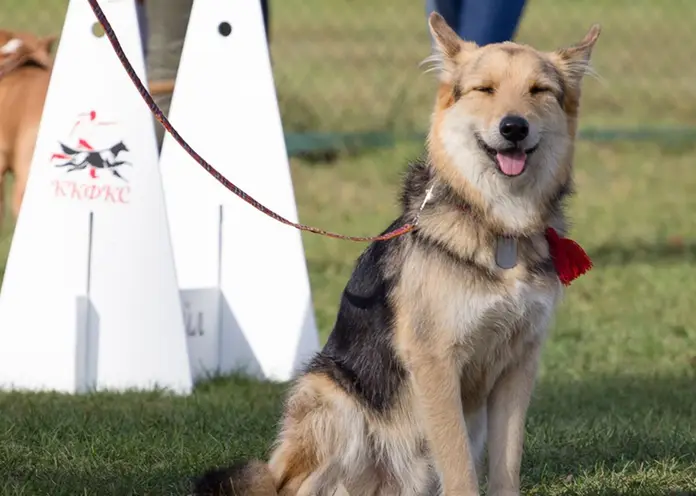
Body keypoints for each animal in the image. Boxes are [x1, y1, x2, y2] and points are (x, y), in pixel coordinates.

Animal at [190, 11, 600, 496]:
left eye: (539, 91)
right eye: (485, 89)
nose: (514, 127)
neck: (500, 227)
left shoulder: (518, 367)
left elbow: (506, 467)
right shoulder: (436, 362)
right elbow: (459, 468)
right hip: (334, 402)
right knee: (295, 485)